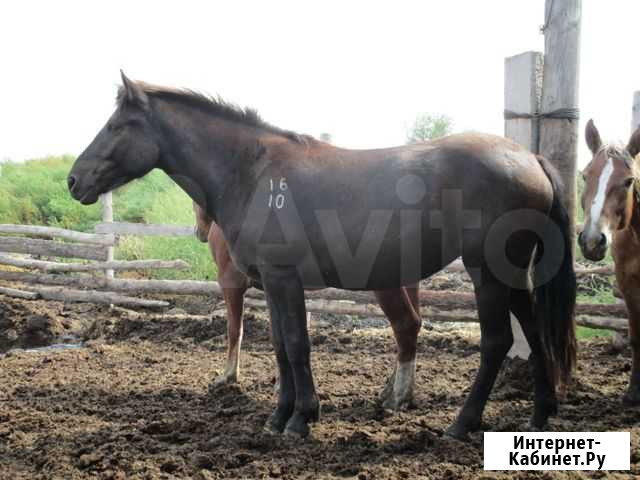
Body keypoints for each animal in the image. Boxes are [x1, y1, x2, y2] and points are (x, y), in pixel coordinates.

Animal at [192, 199, 422, 404]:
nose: (198, 233)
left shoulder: (231, 282)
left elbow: (234, 330)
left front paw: (228, 376)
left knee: (405, 324)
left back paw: (397, 395)